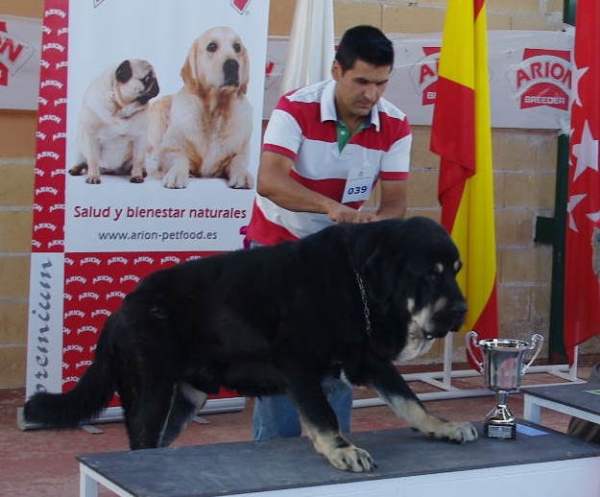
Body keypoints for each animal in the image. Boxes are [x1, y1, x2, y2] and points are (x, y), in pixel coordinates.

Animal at [23, 216, 478, 468]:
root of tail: (122, 307)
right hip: (149, 393)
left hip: (184, 400)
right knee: (140, 445)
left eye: (456, 270)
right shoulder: (298, 364)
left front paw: (443, 427)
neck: (358, 284)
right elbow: (324, 416)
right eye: (429, 274)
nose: (462, 309)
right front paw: (340, 450)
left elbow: (410, 401)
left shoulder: (368, 360)